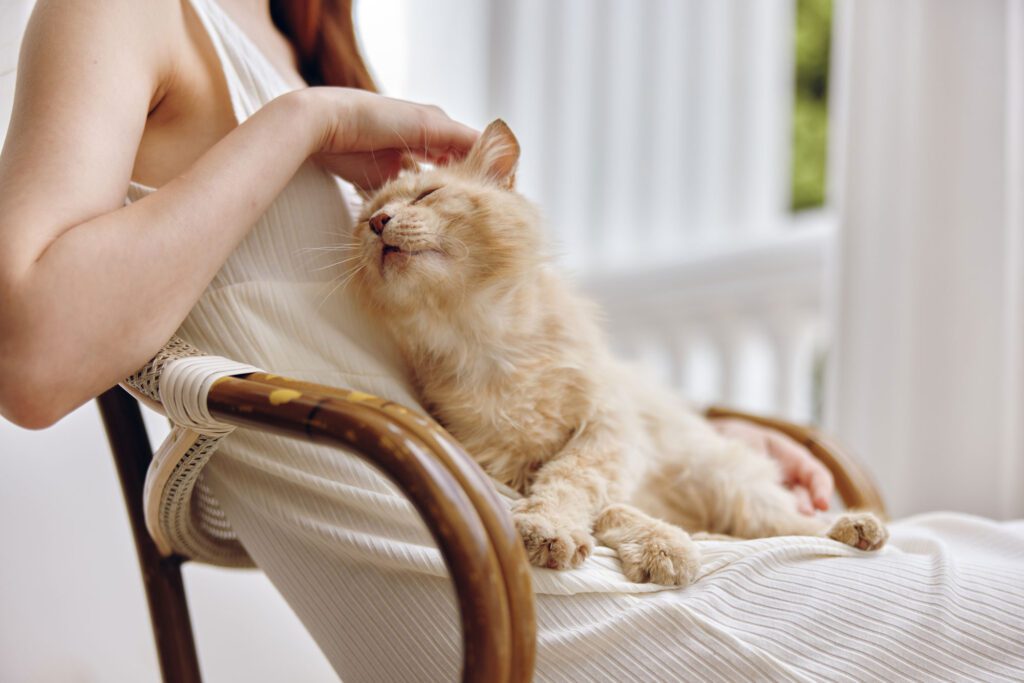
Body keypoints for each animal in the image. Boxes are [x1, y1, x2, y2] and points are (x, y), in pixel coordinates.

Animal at [348, 118, 884, 589]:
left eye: (427, 195)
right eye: (364, 221)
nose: (379, 222)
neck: (483, 339)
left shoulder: (606, 430)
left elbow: (574, 483)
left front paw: (571, 531)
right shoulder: (506, 464)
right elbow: (604, 507)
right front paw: (651, 546)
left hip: (725, 480)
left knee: (784, 522)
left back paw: (854, 527)